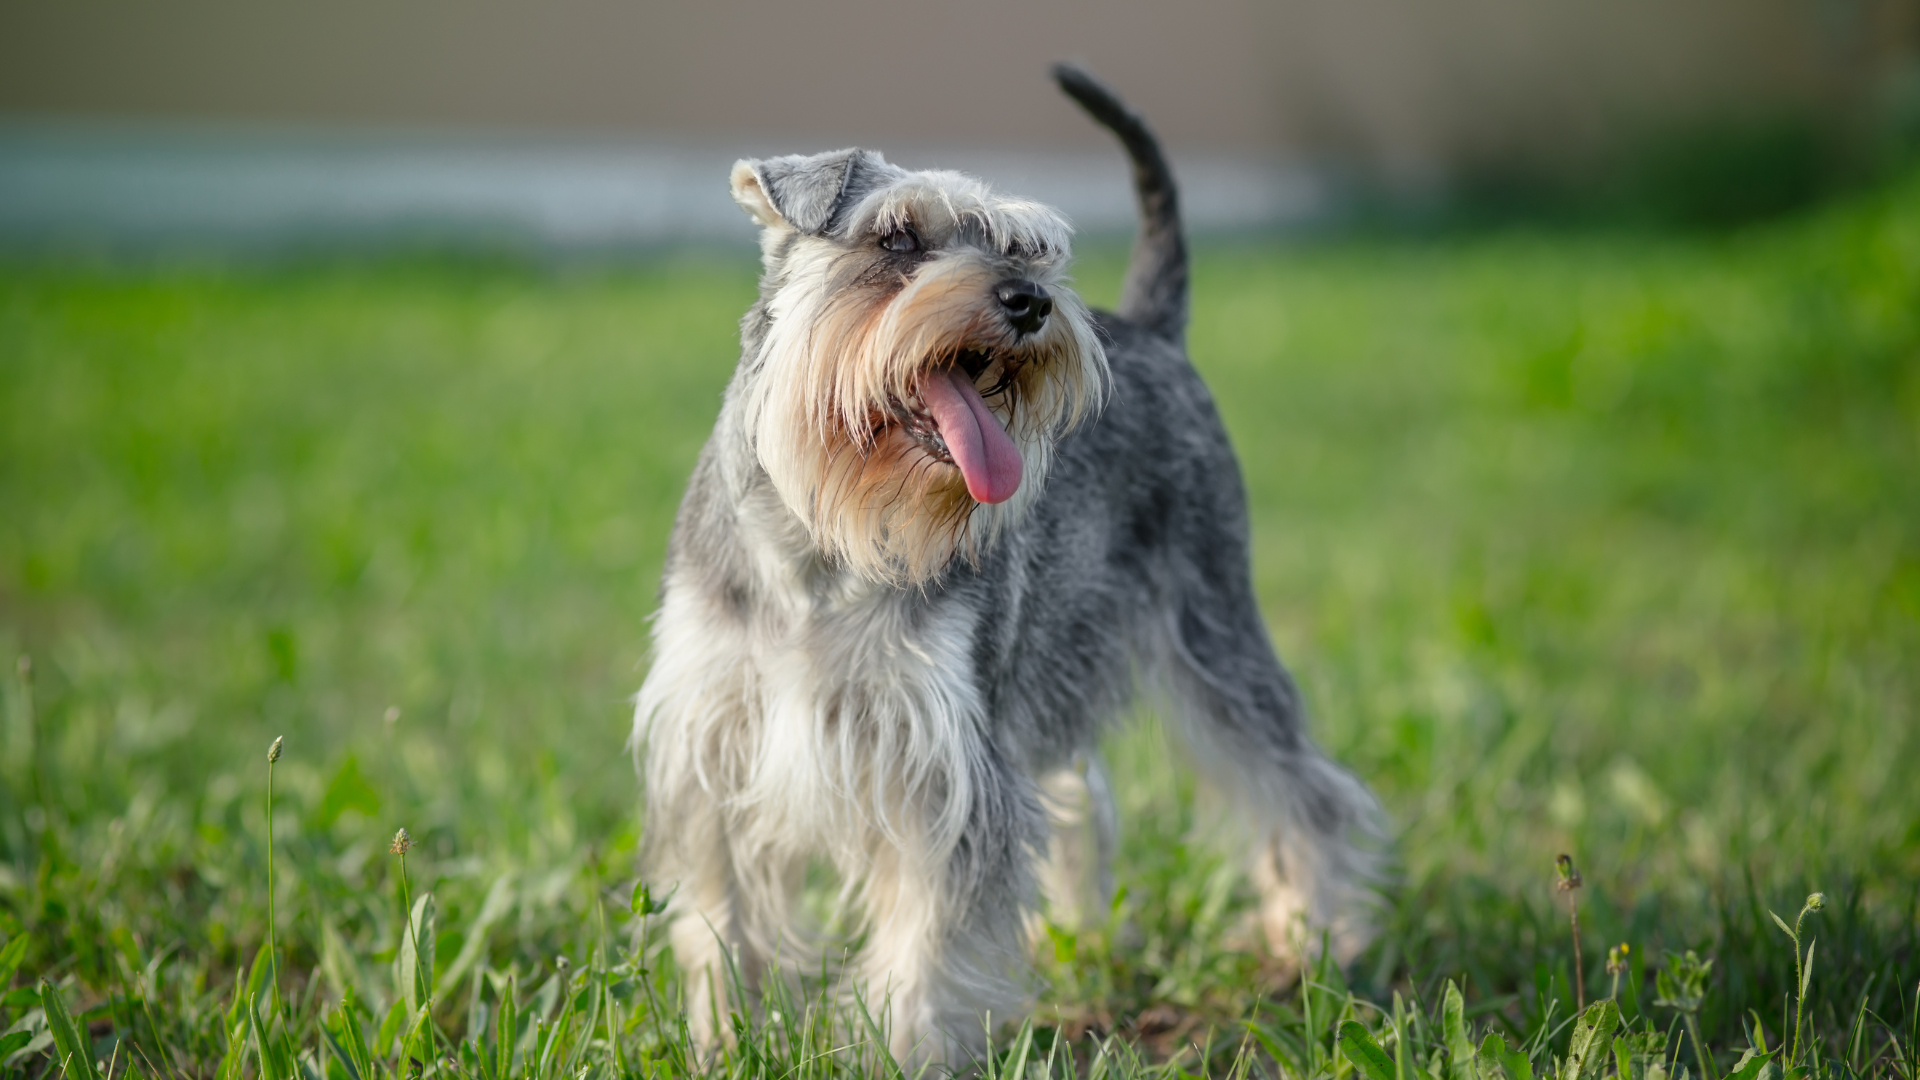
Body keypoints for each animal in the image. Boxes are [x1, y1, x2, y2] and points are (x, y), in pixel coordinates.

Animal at [637, 65, 1390, 1060]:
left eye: (1026, 248)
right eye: (897, 237)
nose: (1030, 301)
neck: (822, 545)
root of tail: (1154, 327)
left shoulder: (947, 767)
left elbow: (924, 945)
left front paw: (897, 1051)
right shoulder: (712, 746)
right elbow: (720, 922)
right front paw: (722, 1038)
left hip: (1213, 631)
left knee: (1298, 788)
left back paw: (1316, 940)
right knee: (1082, 795)